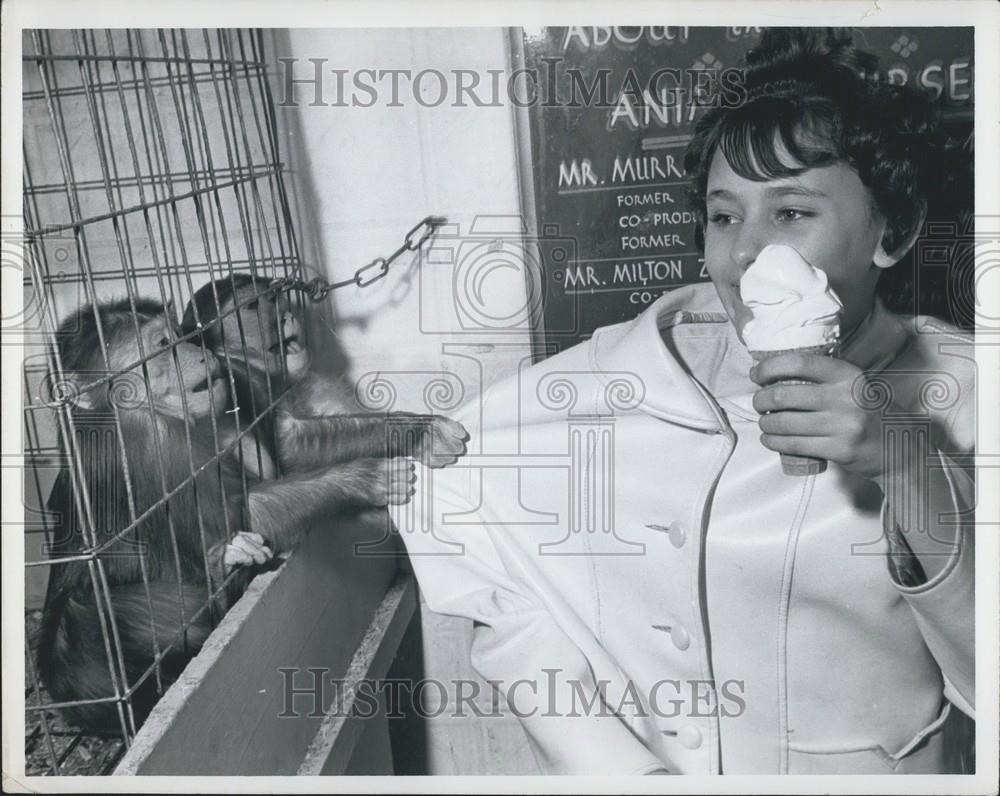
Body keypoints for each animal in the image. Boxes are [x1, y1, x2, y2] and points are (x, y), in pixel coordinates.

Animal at [35, 298, 418, 732]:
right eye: (162, 345)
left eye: (180, 335)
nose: (200, 353)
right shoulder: (148, 440)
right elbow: (233, 515)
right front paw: (363, 477)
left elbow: (283, 448)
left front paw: (407, 430)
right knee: (83, 615)